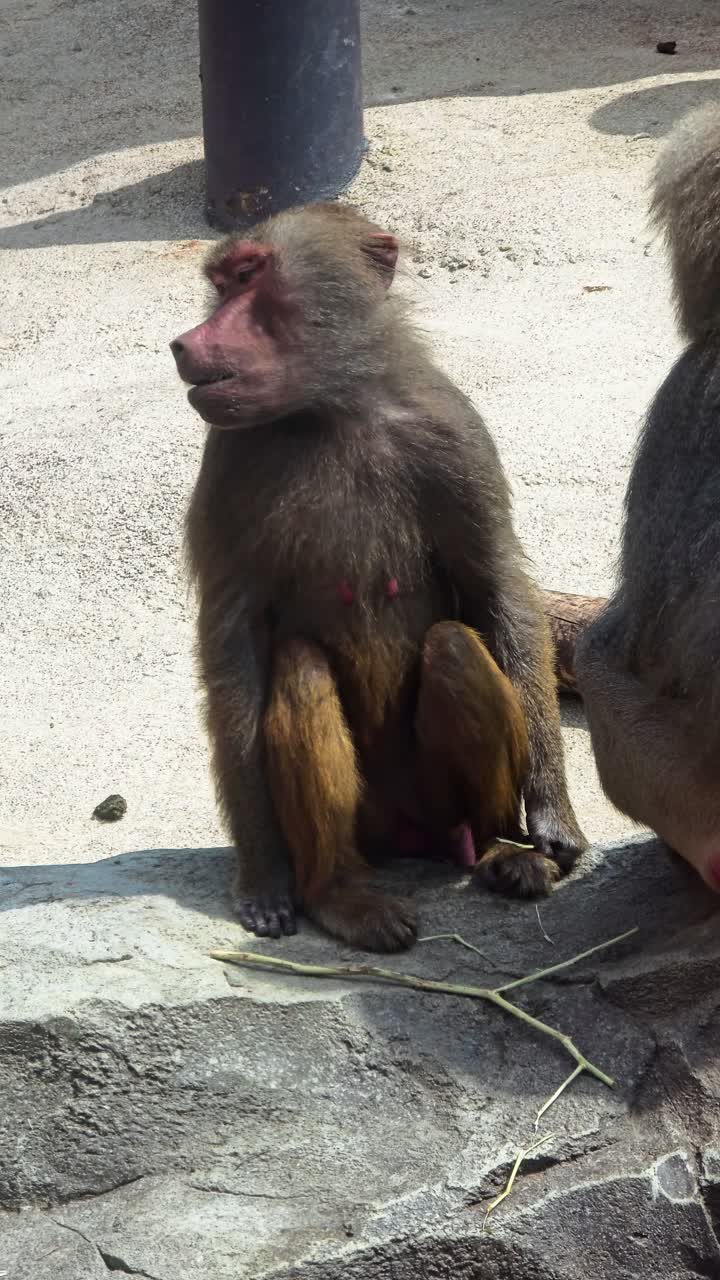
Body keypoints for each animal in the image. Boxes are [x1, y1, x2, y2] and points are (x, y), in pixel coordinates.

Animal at [171, 201, 587, 951]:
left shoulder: (455, 435)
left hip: (439, 805)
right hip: (366, 822)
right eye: (221, 283)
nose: (184, 344)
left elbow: (498, 593)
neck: (334, 410)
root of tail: (411, 839)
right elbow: (233, 644)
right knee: (301, 669)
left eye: (250, 276)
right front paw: (263, 878)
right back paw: (341, 894)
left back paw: (500, 852)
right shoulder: (228, 463)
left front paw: (552, 820)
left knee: (454, 646)